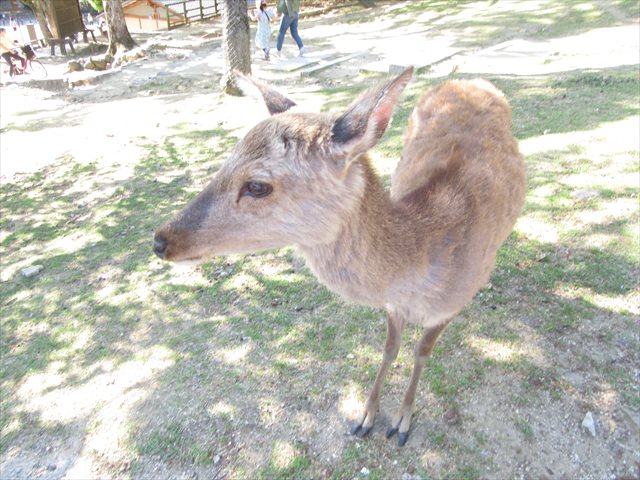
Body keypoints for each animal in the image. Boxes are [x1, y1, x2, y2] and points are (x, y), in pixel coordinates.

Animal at [154, 67, 524, 446]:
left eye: (257, 185)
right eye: (225, 161)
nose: (161, 240)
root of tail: (469, 80)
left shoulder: (455, 302)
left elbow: (421, 351)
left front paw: (402, 423)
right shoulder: (393, 306)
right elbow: (389, 348)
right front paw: (366, 417)